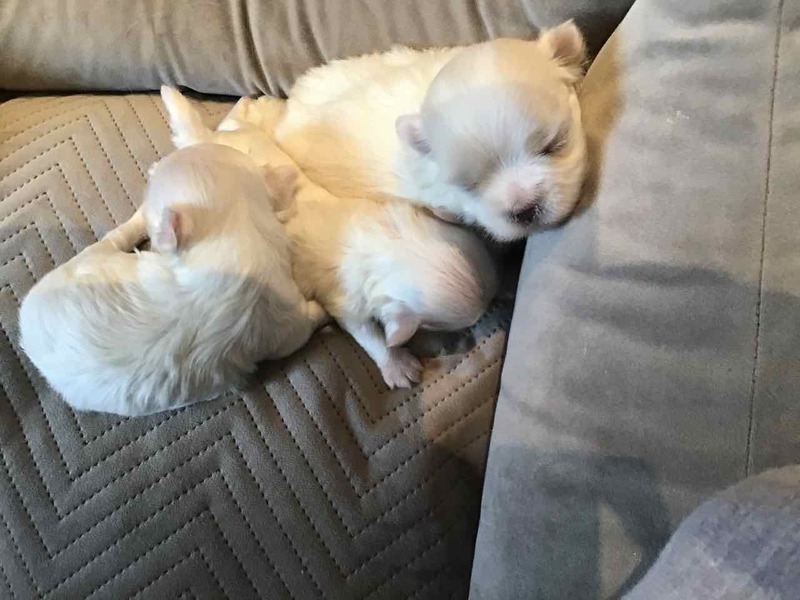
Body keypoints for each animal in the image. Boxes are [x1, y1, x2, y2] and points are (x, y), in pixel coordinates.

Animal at [19, 143, 327, 415]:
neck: (234, 235)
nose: (154, 168)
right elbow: (307, 321)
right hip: (86, 262)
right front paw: (325, 313)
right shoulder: (288, 324)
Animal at [161, 87, 498, 388]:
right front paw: (398, 366)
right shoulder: (344, 302)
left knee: (231, 124)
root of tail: (204, 147)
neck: (388, 242)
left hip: (236, 137)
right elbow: (371, 337)